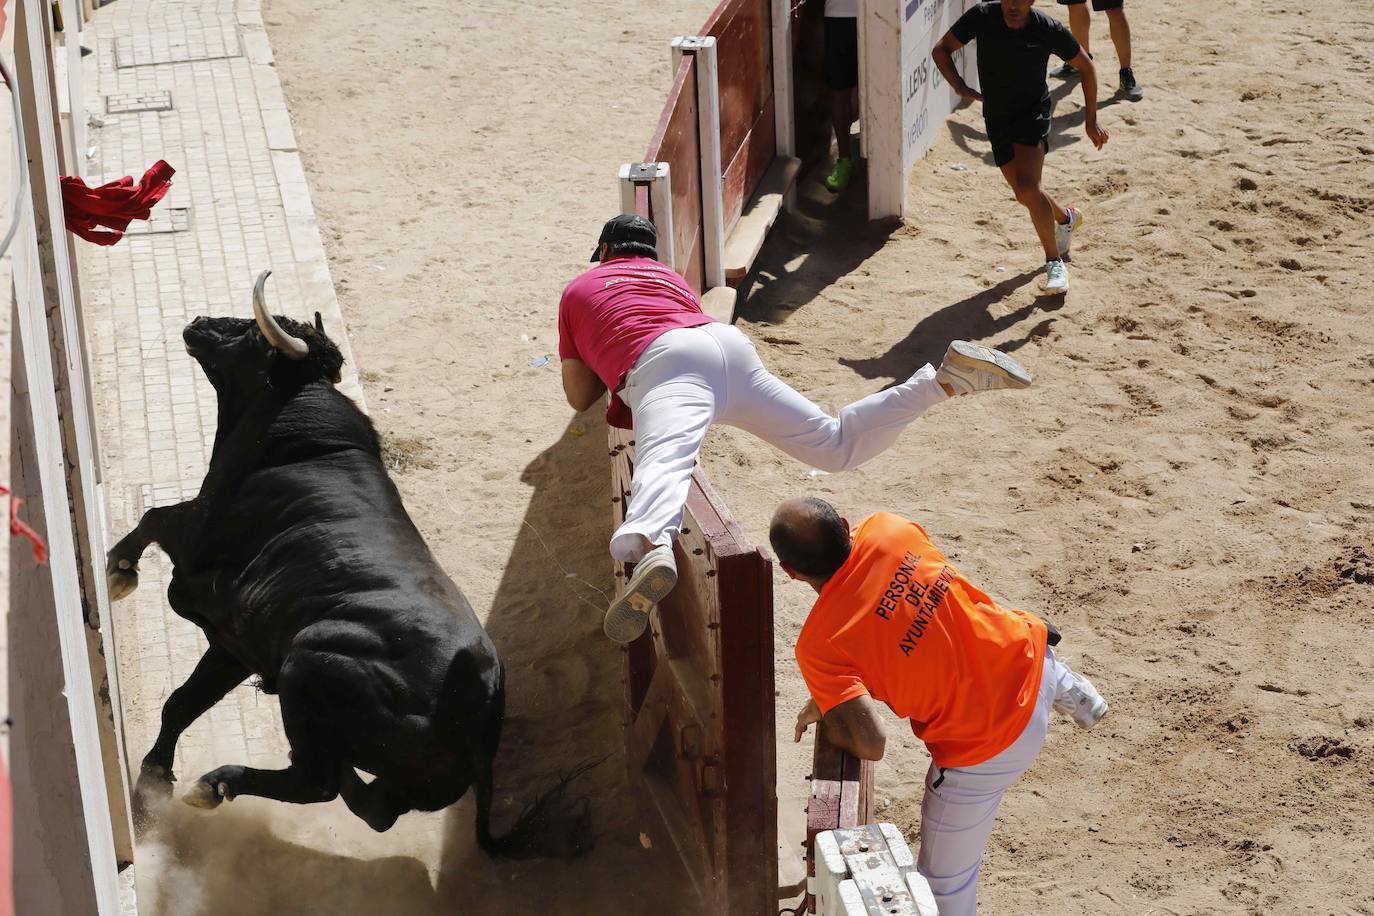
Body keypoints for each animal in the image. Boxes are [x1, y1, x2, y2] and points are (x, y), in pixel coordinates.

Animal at [109, 274, 593, 862]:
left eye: (253, 332)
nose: (199, 323)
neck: (301, 440)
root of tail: (485, 704)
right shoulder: (233, 644)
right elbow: (181, 703)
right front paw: (152, 783)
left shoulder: (202, 558)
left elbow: (153, 518)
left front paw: (117, 572)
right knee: (375, 806)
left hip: (305, 663)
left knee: (317, 782)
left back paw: (231, 781)